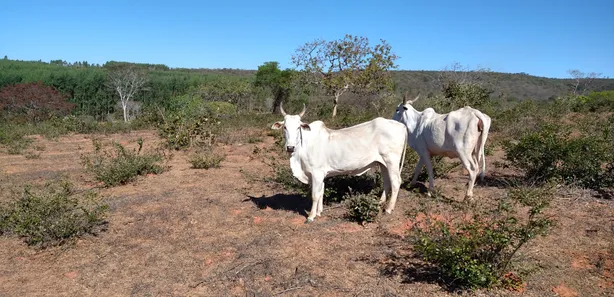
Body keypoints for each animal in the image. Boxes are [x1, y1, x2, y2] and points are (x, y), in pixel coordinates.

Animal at [270, 103, 406, 221]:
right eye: (285, 127)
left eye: (298, 127)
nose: (290, 147)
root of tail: (401, 126)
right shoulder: (321, 175)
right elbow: (321, 192)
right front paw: (319, 212)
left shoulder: (317, 173)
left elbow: (315, 195)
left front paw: (311, 216)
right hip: (383, 163)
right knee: (387, 182)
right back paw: (379, 203)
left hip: (392, 161)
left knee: (396, 182)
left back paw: (388, 209)